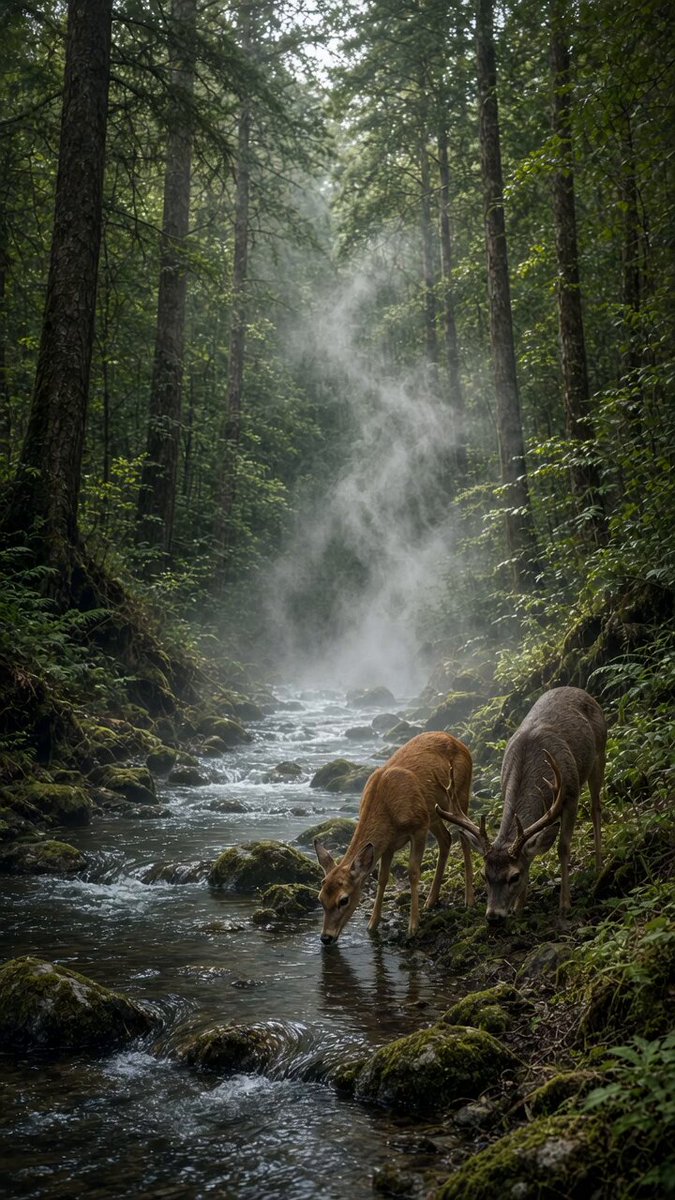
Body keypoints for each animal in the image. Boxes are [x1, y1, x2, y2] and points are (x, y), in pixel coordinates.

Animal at [313, 731, 475, 946]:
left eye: (344, 900)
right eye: (320, 898)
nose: (326, 937)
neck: (386, 810)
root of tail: (460, 743)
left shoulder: (419, 826)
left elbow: (413, 872)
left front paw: (413, 927)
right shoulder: (387, 844)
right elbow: (382, 878)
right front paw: (372, 924)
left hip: (459, 795)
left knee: (464, 838)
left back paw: (469, 900)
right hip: (433, 813)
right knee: (446, 839)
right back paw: (431, 900)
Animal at [435, 687, 606, 922]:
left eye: (514, 876)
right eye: (484, 875)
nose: (493, 916)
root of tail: (579, 690)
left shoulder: (571, 795)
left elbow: (563, 847)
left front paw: (565, 904)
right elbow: (530, 853)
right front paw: (519, 908)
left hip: (600, 753)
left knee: (596, 808)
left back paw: (599, 866)